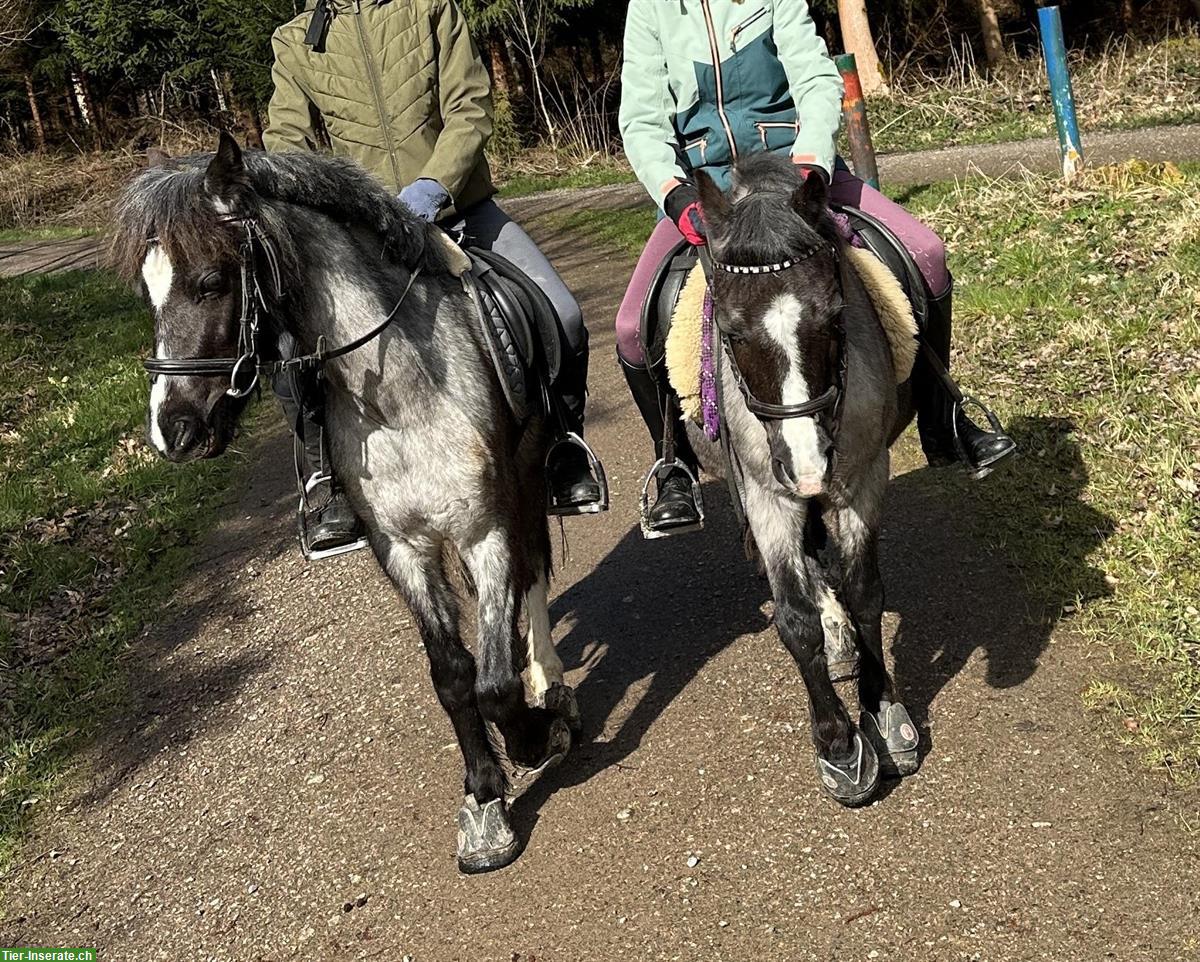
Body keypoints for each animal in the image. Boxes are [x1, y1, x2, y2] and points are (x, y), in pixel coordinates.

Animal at [113, 133, 580, 868]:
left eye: (211, 282)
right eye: (148, 295)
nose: (173, 432)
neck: (397, 393)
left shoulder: (483, 528)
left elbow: (496, 682)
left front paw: (537, 736)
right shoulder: (401, 546)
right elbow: (454, 675)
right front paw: (484, 798)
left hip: (530, 477)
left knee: (532, 570)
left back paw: (548, 678)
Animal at [696, 155, 916, 801]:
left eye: (837, 319)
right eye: (732, 333)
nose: (808, 464)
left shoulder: (862, 477)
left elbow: (866, 591)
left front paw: (882, 709)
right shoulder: (767, 498)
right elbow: (794, 620)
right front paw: (838, 743)